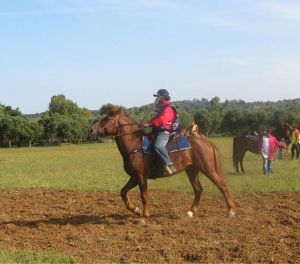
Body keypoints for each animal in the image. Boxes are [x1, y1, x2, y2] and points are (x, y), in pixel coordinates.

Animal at [90, 106, 236, 224]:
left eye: (107, 118)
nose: (91, 130)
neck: (135, 145)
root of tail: (206, 141)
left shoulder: (141, 177)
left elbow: (144, 196)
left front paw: (144, 217)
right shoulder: (134, 177)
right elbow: (123, 192)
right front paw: (136, 210)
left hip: (208, 169)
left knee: (222, 186)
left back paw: (230, 211)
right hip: (192, 171)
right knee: (198, 189)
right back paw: (191, 212)